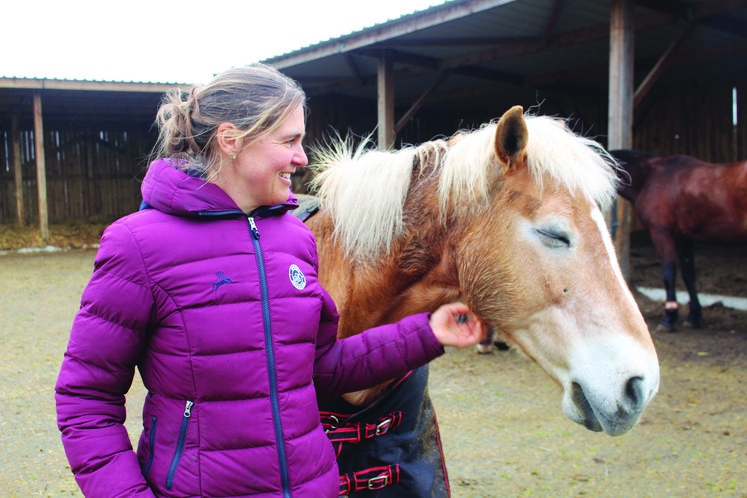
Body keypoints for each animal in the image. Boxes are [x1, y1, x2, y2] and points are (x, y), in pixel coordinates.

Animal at [612, 150, 747, 332]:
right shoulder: (684, 238)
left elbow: (669, 274)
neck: (650, 177)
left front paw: (669, 318)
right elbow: (688, 275)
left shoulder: (662, 235)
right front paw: (693, 317)